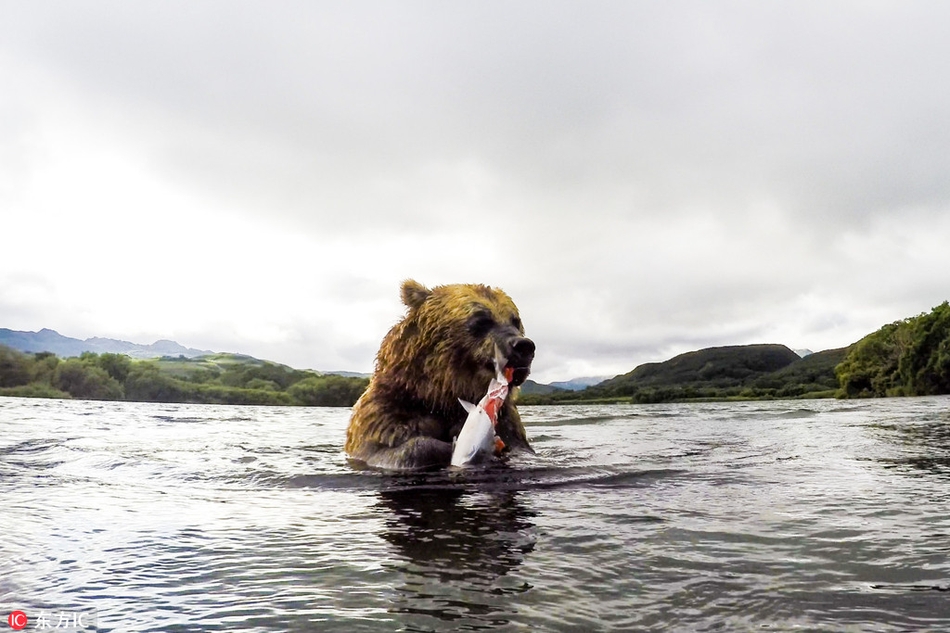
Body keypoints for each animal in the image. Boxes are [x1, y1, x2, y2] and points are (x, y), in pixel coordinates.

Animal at [346, 278, 536, 470]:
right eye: (482, 321)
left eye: (515, 321)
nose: (523, 346)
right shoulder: (385, 414)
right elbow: (384, 448)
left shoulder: (507, 421)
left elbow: (520, 448)